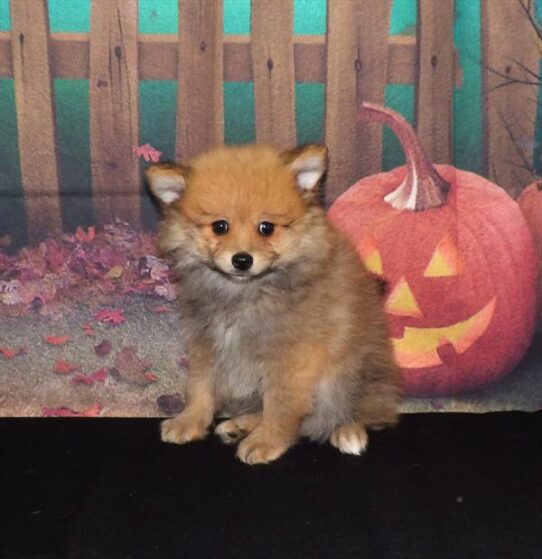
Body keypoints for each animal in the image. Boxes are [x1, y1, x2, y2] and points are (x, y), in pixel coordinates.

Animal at [147, 143, 402, 464]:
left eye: (266, 228)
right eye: (220, 226)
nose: (242, 259)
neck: (245, 294)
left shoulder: (291, 356)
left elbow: (281, 405)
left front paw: (267, 440)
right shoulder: (207, 343)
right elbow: (201, 387)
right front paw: (189, 421)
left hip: (351, 373)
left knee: (358, 412)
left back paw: (347, 431)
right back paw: (239, 425)